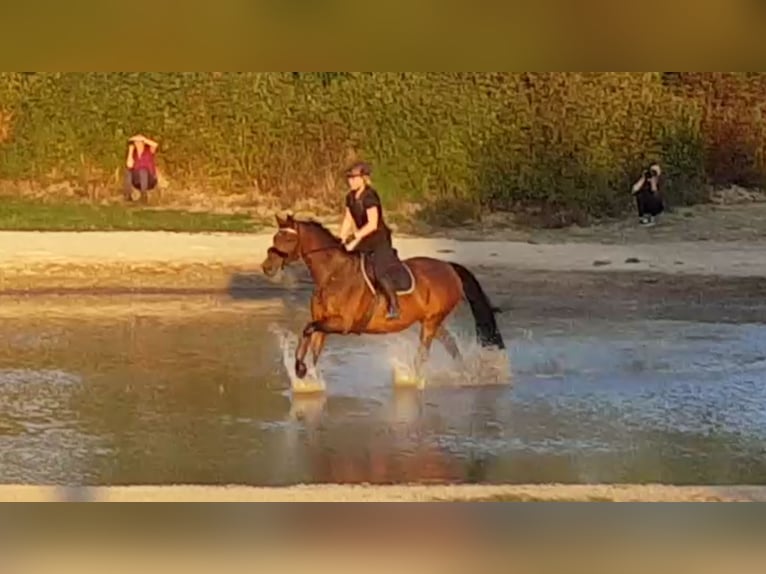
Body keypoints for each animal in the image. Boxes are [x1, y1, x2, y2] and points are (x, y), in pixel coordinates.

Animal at [260, 214, 508, 384]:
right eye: (275, 236)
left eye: (287, 239)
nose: (267, 267)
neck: (333, 274)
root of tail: (449, 267)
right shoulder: (324, 323)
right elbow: (312, 343)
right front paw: (307, 378)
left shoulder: (343, 324)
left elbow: (307, 329)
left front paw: (301, 371)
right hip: (432, 321)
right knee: (450, 345)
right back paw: (465, 374)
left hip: (431, 322)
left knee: (423, 354)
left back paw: (415, 381)